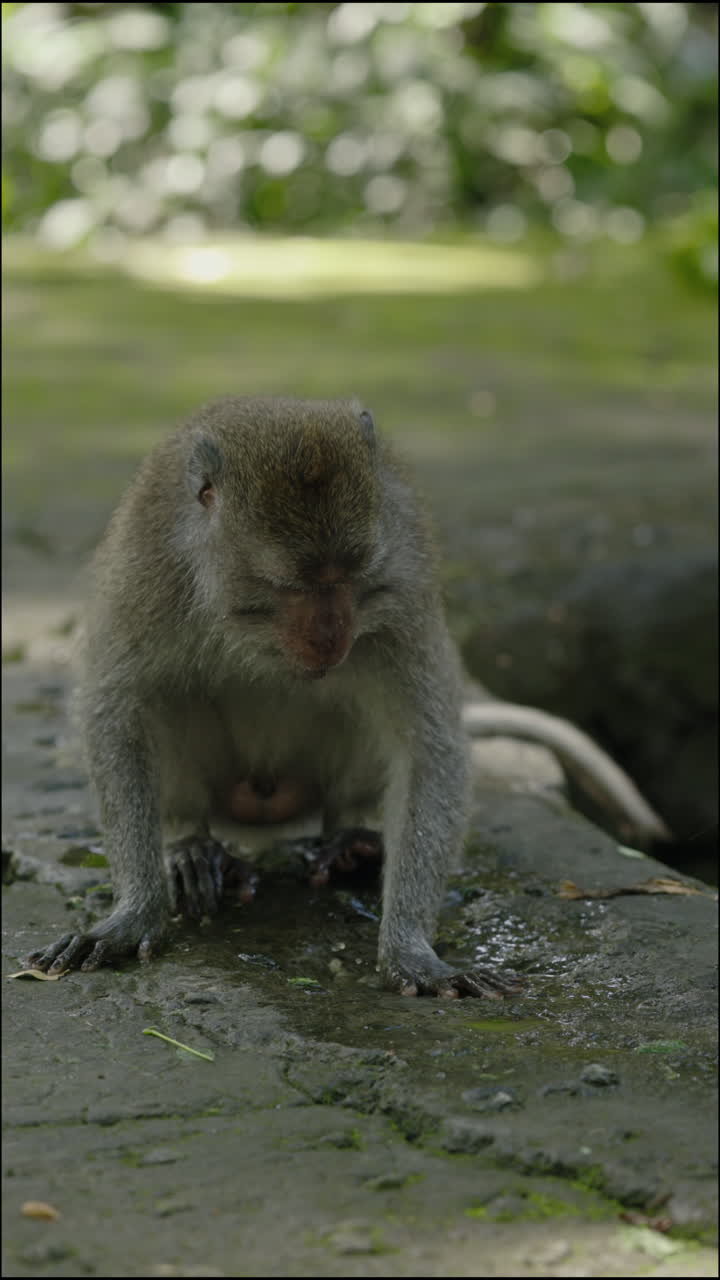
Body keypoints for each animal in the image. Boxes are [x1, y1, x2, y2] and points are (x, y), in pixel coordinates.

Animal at [29, 397, 669, 997]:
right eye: (291, 585)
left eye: (351, 575)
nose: (331, 635)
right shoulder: (148, 575)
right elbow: (121, 713)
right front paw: (134, 914)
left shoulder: (402, 589)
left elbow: (427, 745)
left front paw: (410, 951)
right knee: (174, 702)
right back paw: (194, 846)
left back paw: (348, 841)